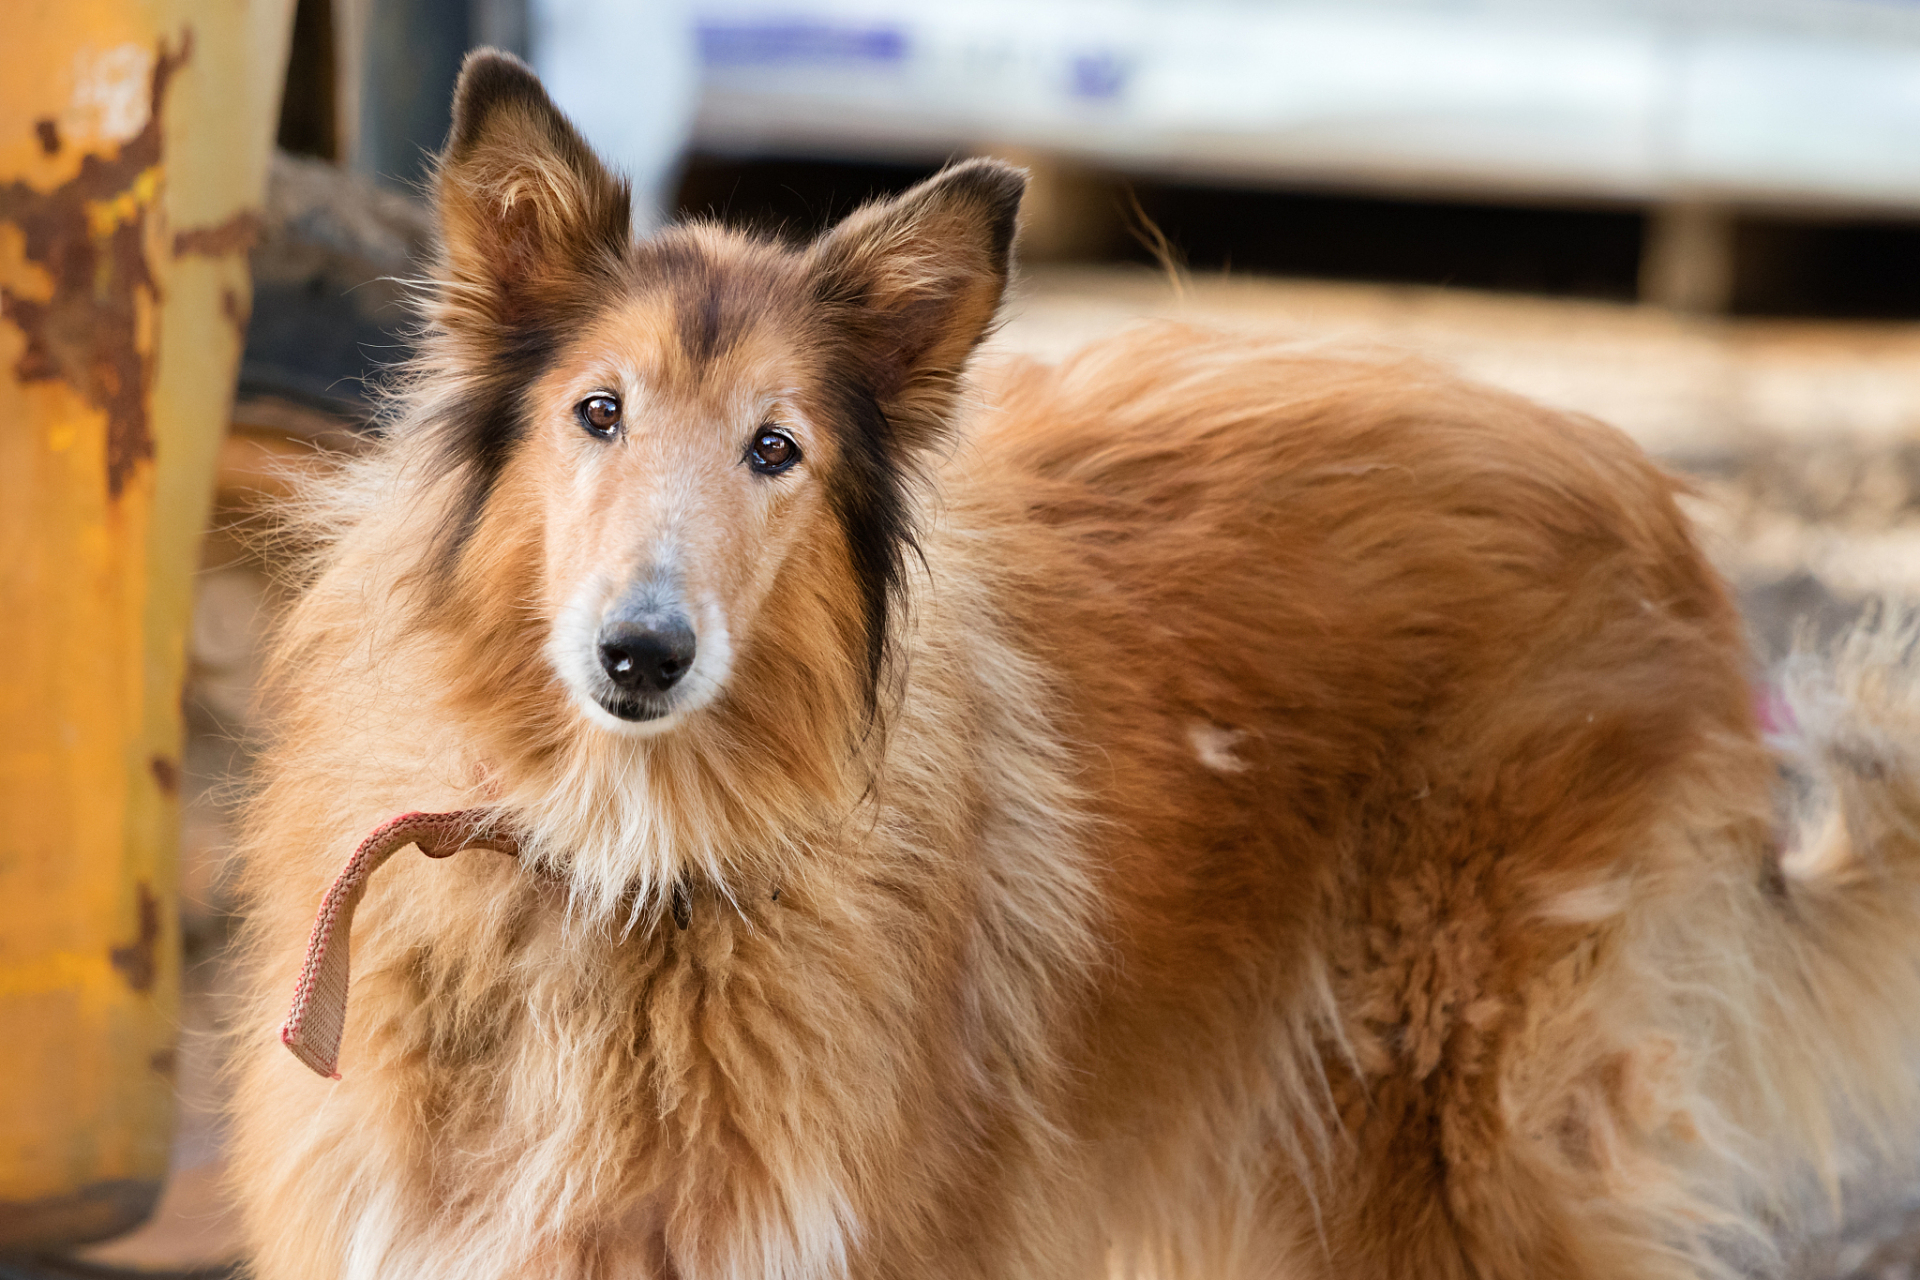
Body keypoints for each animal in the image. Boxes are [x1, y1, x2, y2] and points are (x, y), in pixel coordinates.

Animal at [232, 50, 1920, 1280]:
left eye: (777, 449)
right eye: (598, 411)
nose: (641, 655)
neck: (608, 852)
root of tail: (1654, 501)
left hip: (1452, 1143)